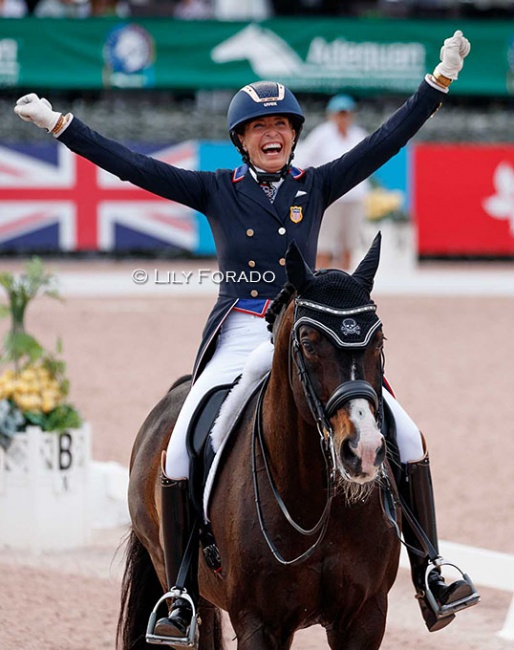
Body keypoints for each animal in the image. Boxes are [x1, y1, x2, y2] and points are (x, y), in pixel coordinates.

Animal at [117, 234, 400, 648]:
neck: (315, 501)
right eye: (308, 341)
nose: (362, 451)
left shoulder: (366, 616)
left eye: (378, 339)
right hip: (176, 575)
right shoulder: (259, 622)